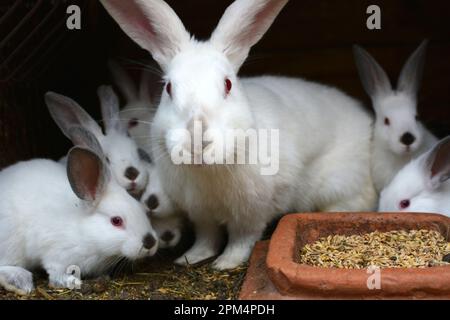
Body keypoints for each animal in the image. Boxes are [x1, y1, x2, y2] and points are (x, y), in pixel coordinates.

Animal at [0, 125, 158, 296]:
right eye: (116, 221)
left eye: (140, 207)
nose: (150, 243)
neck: (85, 231)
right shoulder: (57, 254)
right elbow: (56, 274)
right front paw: (73, 282)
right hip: (10, 243)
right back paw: (21, 281)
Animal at [101, 0, 376, 270]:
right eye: (168, 88)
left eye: (228, 84)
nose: (197, 139)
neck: (207, 170)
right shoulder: (200, 213)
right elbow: (207, 237)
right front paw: (191, 258)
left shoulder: (251, 212)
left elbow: (242, 239)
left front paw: (225, 263)